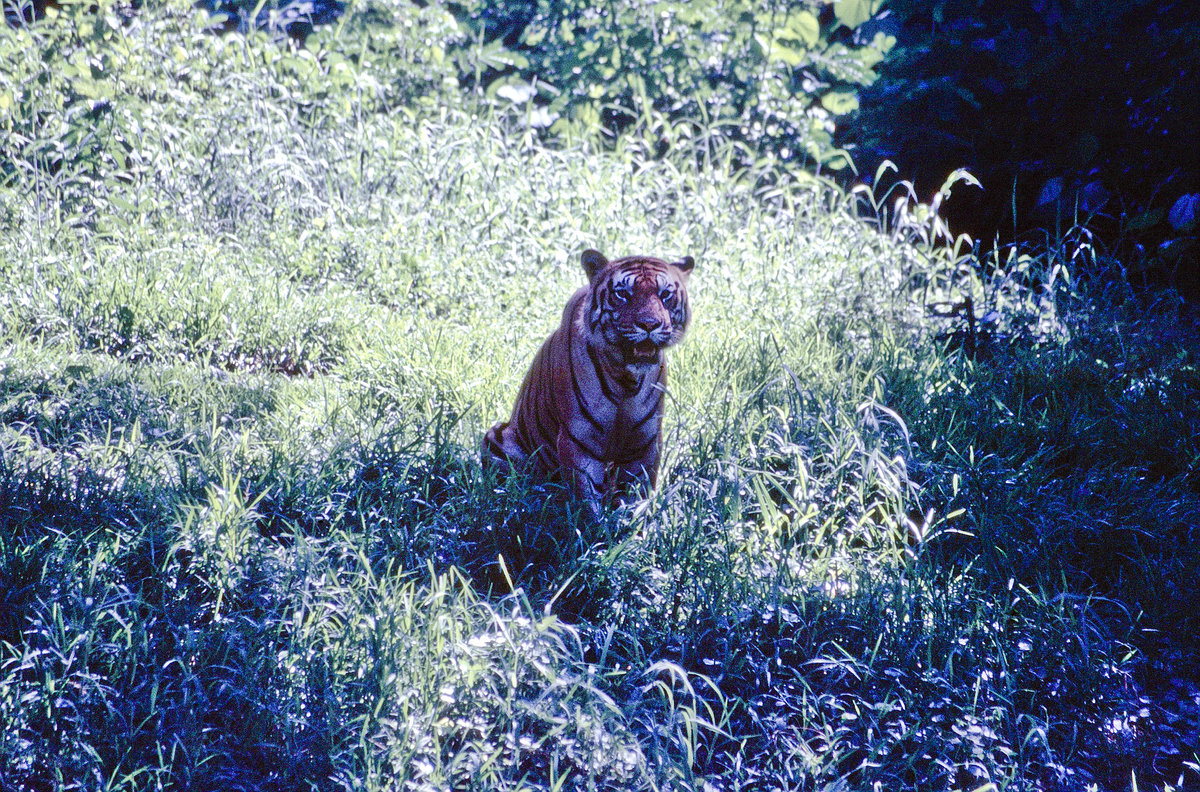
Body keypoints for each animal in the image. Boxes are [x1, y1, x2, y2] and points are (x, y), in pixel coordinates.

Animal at [484, 250, 700, 504]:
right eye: (622, 294)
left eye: (665, 294)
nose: (649, 325)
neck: (626, 379)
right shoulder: (579, 441)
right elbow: (587, 501)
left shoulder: (645, 443)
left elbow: (636, 499)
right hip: (498, 437)